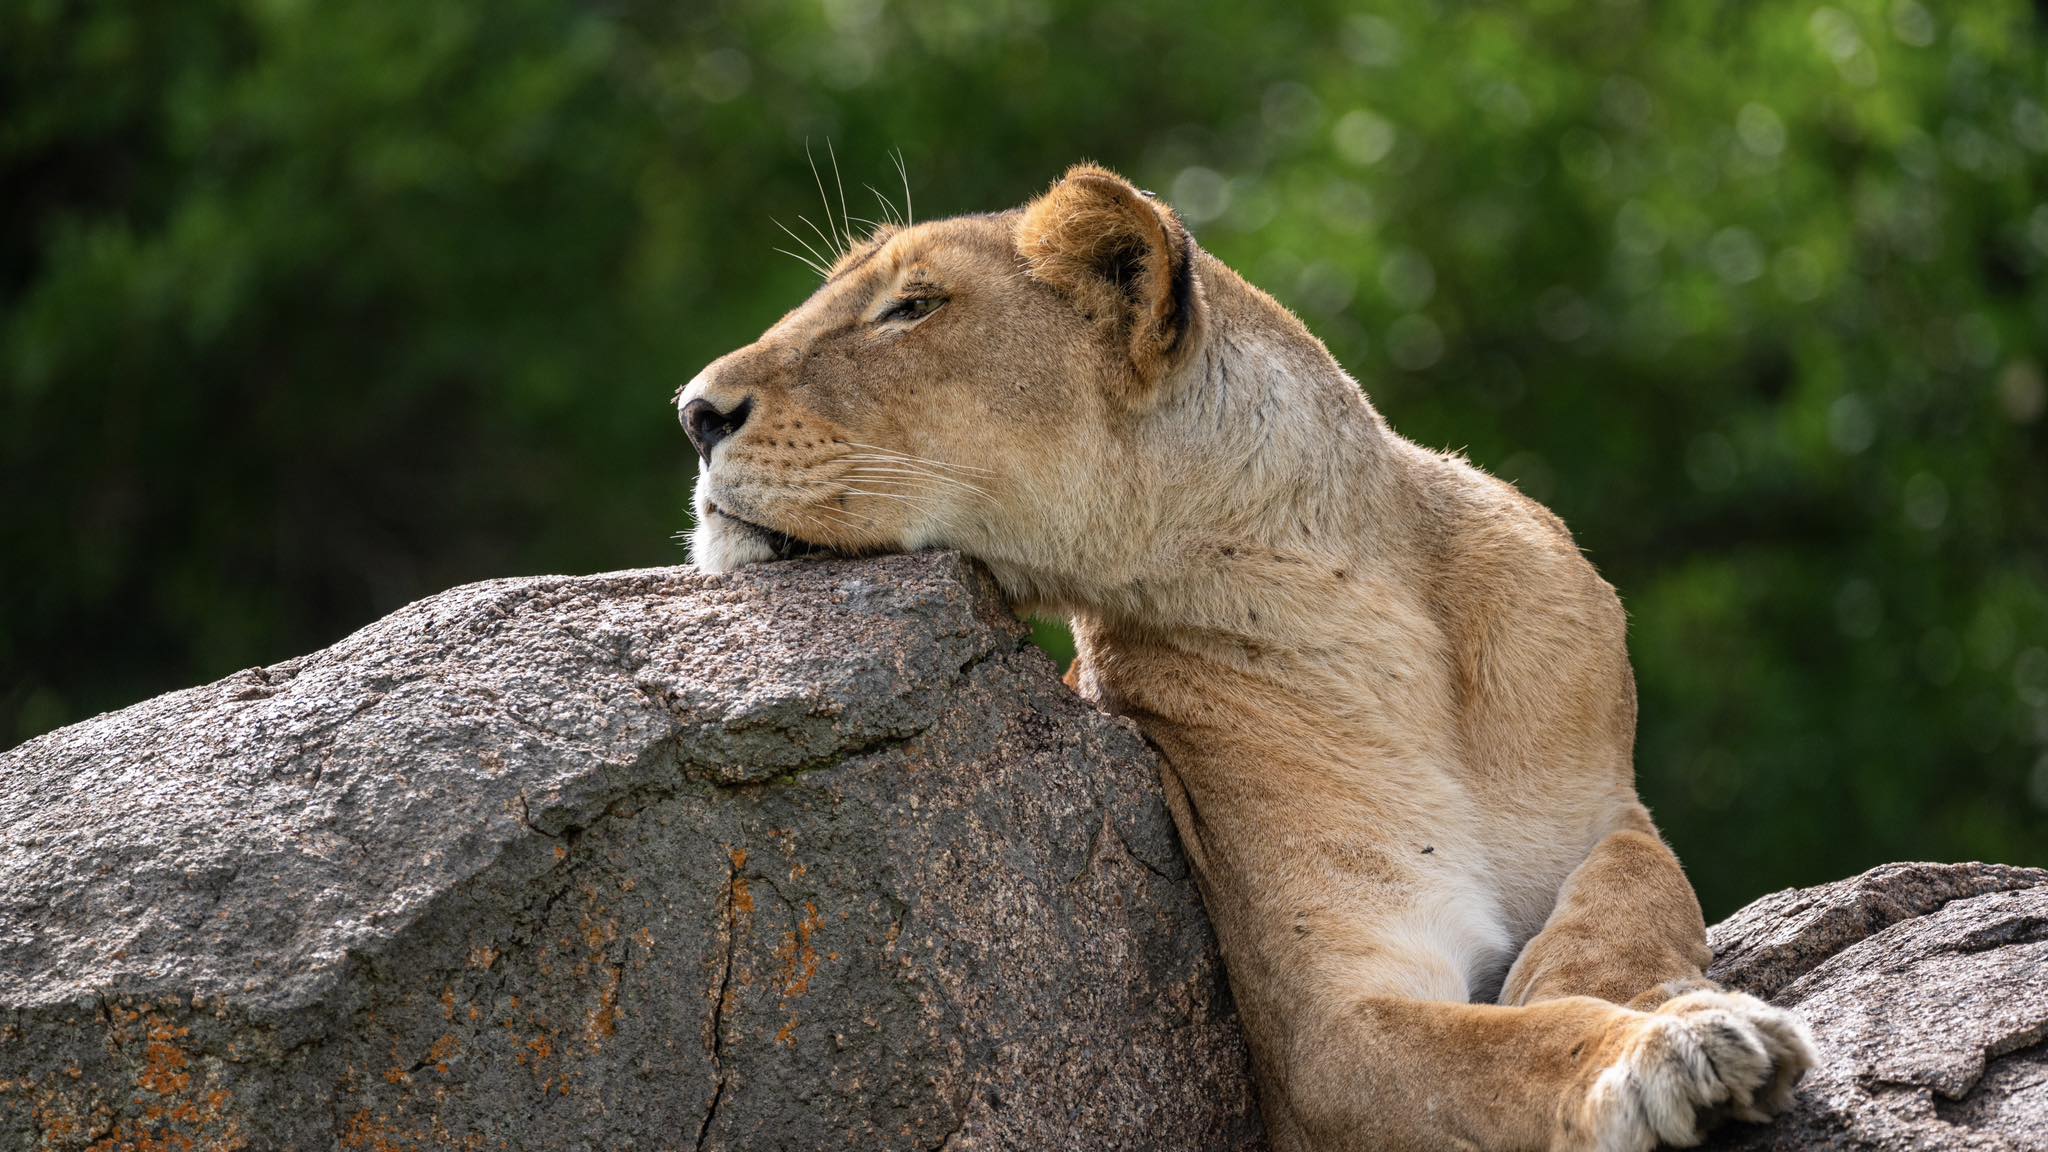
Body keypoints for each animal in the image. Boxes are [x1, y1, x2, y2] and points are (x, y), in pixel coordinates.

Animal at [676, 164, 1814, 1151]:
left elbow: (1636, 888)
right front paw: (1674, 1049)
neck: (1366, 605)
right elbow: (1521, 1048)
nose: (692, 413)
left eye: (912, 308)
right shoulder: (1327, 1037)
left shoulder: (1609, 803)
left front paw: (1634, 992)